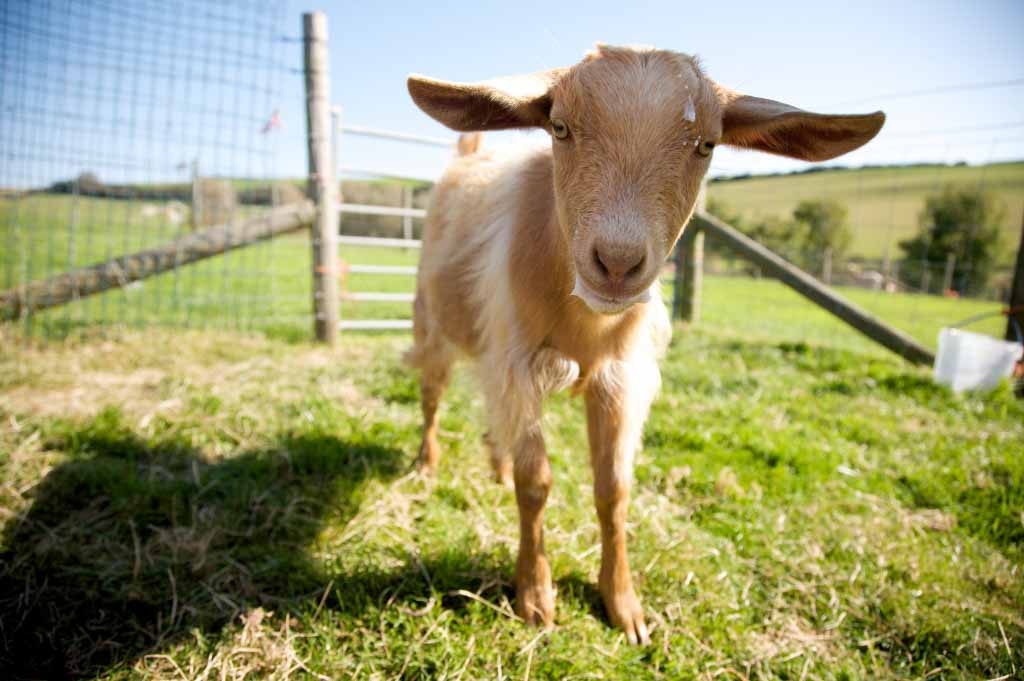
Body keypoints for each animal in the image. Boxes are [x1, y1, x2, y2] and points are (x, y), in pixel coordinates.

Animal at [405, 44, 883, 644]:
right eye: (559, 126)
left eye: (706, 144)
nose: (616, 263)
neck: (584, 321)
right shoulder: (519, 361)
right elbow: (536, 483)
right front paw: (535, 597)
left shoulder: (617, 377)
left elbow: (613, 490)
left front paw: (624, 605)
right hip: (433, 325)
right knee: (432, 397)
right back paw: (426, 465)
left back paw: (495, 465)